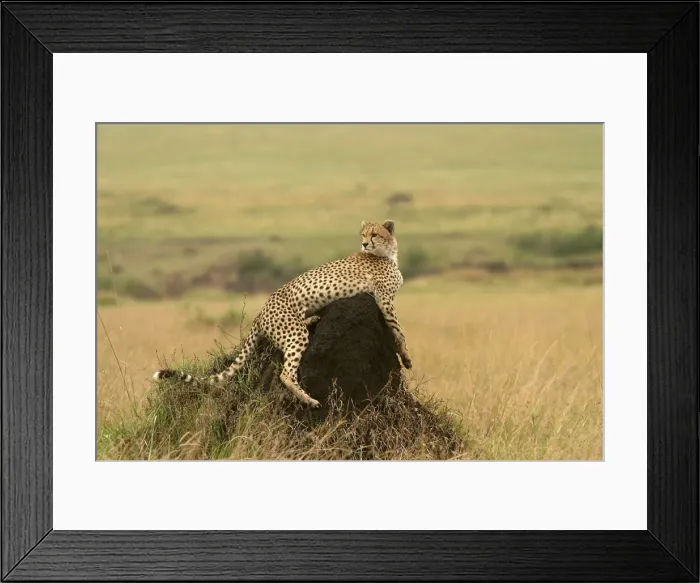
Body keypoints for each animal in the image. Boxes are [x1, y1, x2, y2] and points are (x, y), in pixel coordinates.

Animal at [153, 219, 412, 408]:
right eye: (363, 235)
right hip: (295, 334)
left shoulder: (383, 299)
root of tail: (260, 314)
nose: (365, 244)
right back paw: (309, 399)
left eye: (374, 234)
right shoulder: (385, 300)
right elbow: (399, 331)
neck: (386, 253)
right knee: (285, 374)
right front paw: (406, 356)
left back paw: (313, 320)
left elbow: (398, 330)